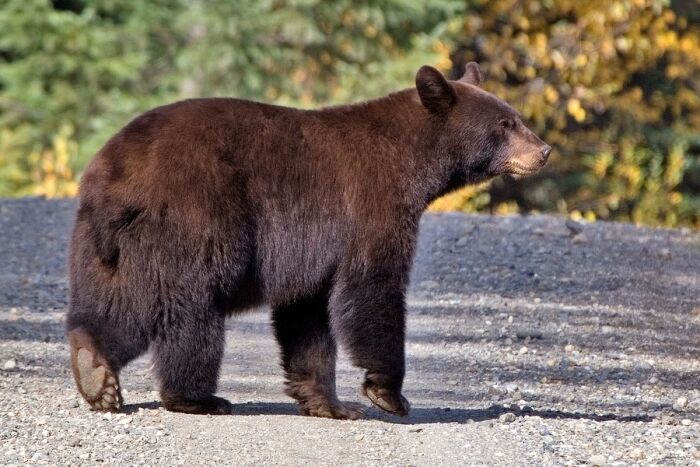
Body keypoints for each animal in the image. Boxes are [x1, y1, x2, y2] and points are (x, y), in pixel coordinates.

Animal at [67, 63, 552, 420]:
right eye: (506, 124)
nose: (544, 150)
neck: (415, 164)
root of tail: (114, 174)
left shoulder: (311, 252)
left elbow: (307, 318)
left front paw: (330, 403)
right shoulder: (371, 207)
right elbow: (373, 289)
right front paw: (388, 394)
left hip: (105, 245)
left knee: (114, 301)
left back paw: (94, 370)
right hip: (194, 221)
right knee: (187, 307)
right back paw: (197, 397)